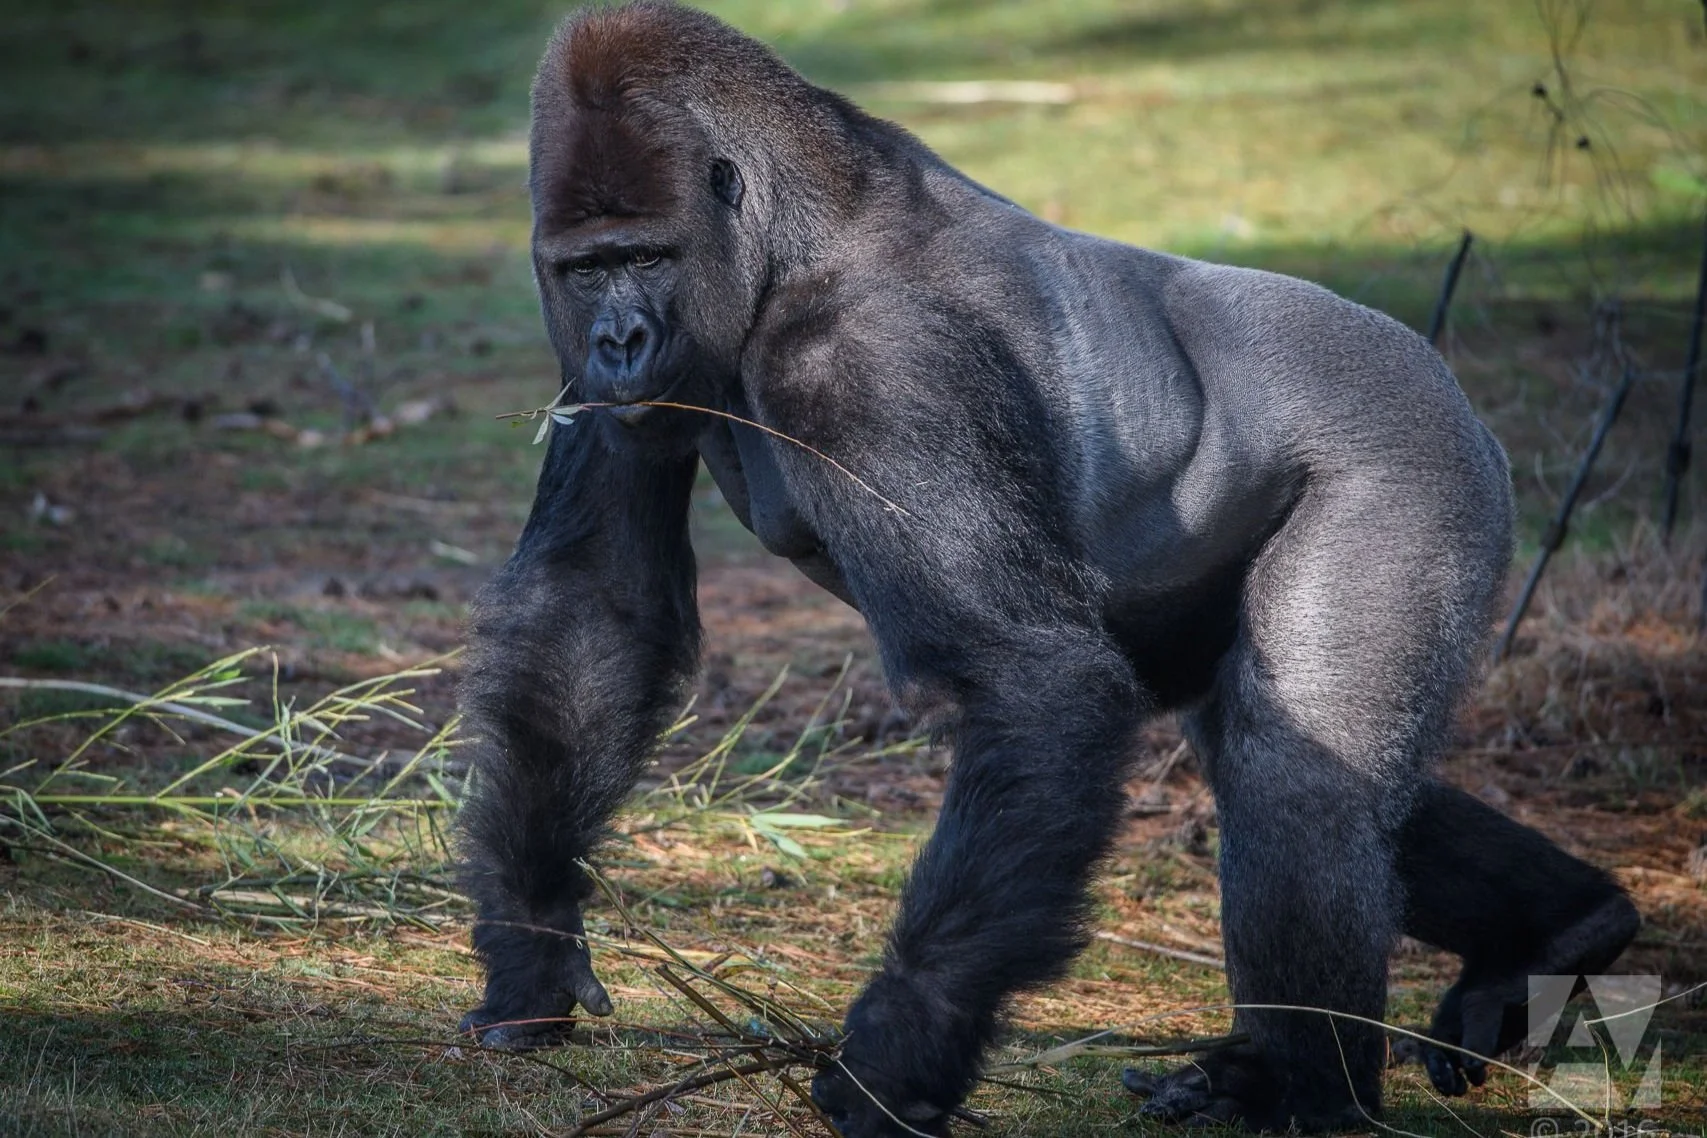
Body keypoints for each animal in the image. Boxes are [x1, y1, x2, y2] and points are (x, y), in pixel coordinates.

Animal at [451, 4, 1638, 1133]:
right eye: (585, 270)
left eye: (646, 256)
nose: (620, 342)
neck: (793, 228)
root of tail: (1447, 388)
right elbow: (596, 606)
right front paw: (532, 940)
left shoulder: (878, 360)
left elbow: (1032, 682)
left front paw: (898, 1056)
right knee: (1288, 759)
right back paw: (1555, 938)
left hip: (1415, 462)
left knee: (1295, 778)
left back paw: (1296, 1085)